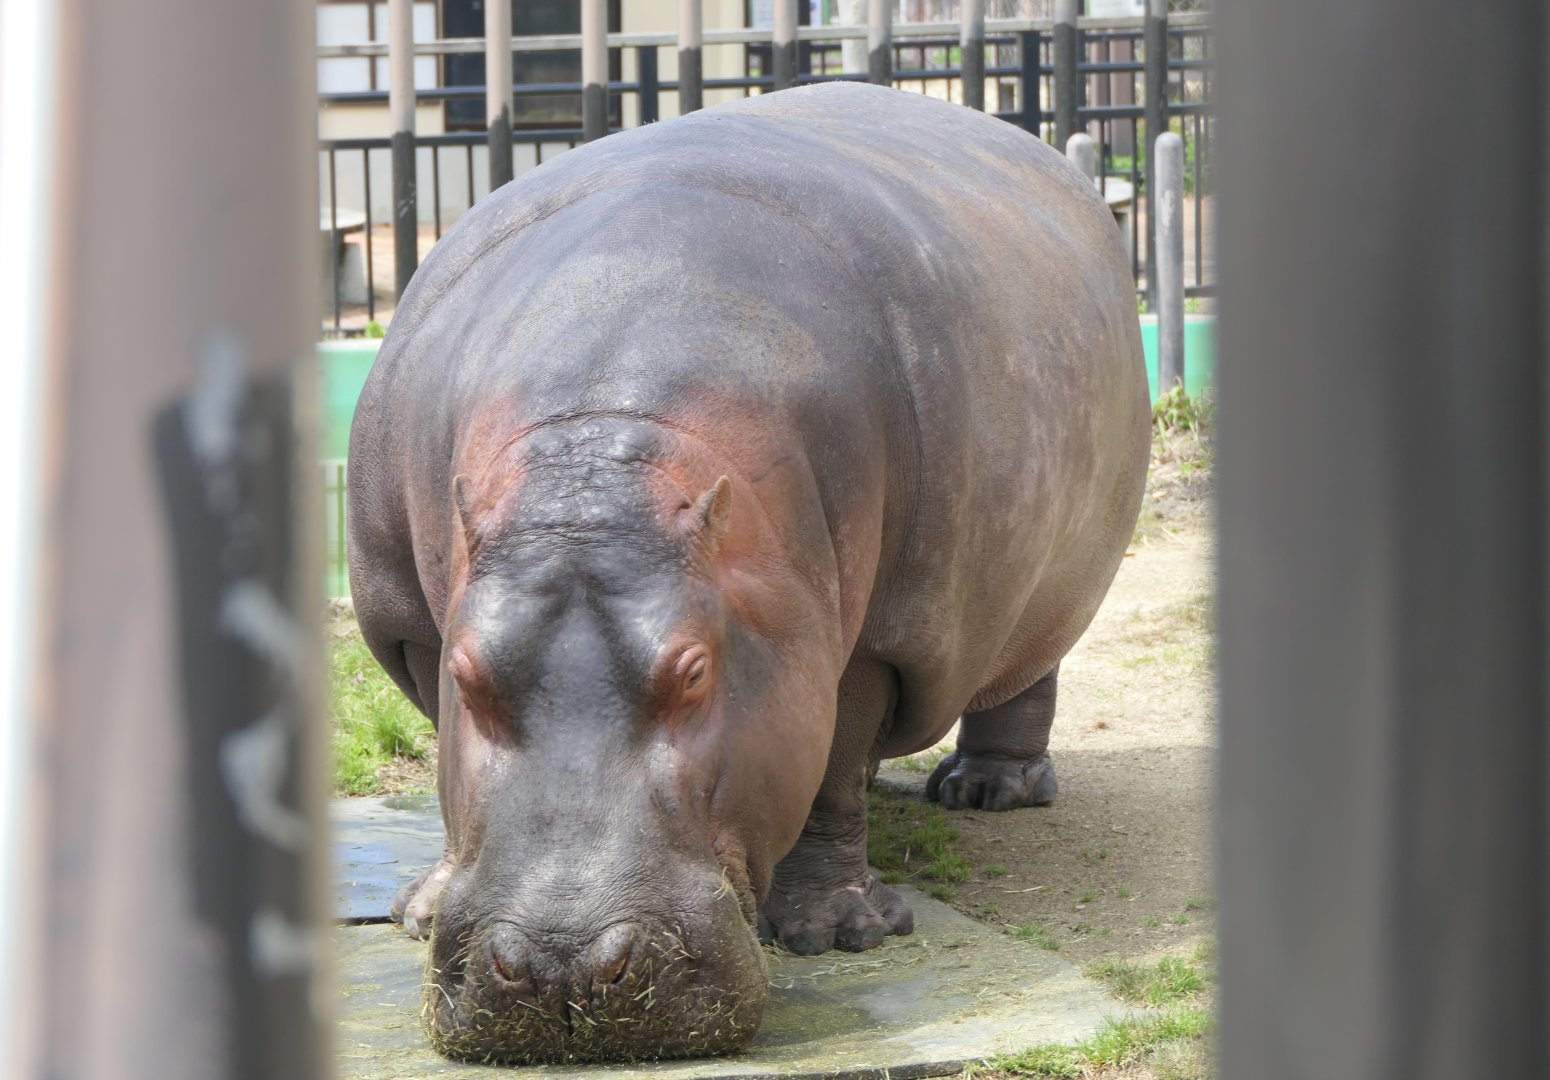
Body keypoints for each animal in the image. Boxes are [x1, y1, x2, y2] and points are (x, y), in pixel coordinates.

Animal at [347, 82, 1149, 1064]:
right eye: (468, 675)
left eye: (695, 670)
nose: (563, 967)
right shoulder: (417, 628)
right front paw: (420, 909)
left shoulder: (868, 647)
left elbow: (832, 764)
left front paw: (836, 933)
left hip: (1052, 582)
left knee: (1025, 679)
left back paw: (987, 791)